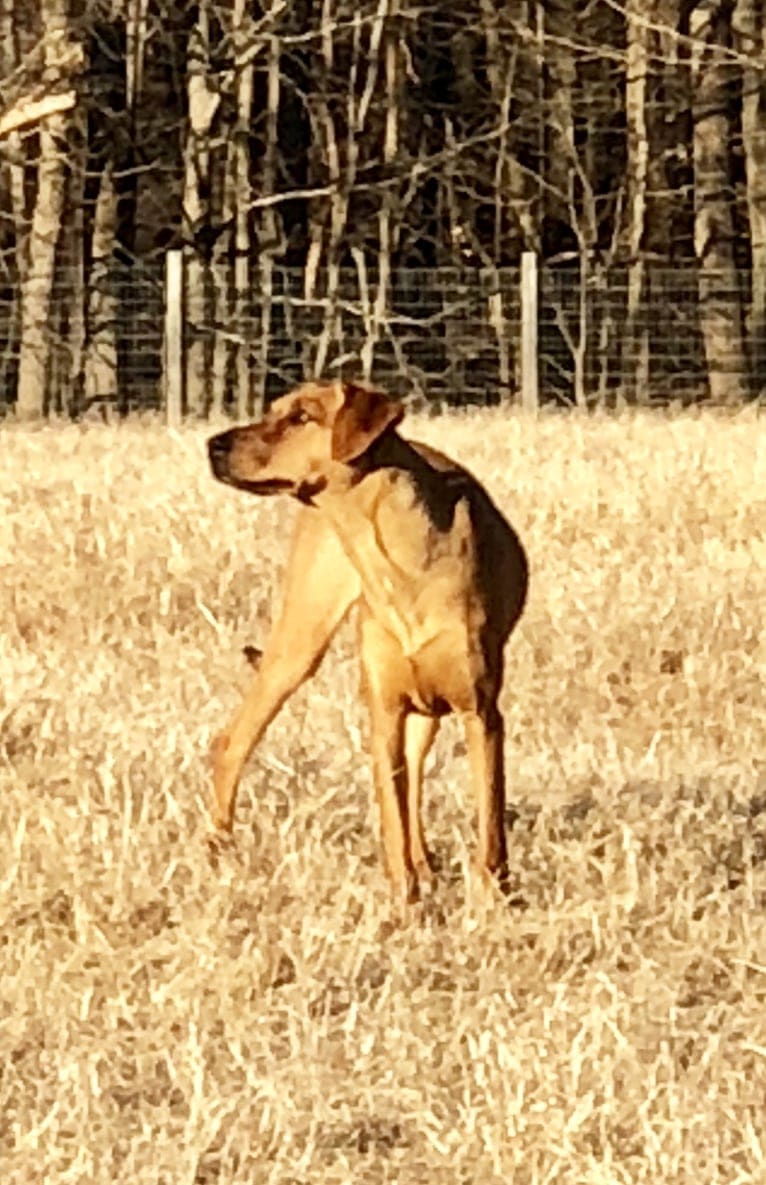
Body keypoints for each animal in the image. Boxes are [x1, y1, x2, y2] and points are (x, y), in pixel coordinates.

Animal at [207, 379, 531, 905]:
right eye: (273, 411)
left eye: (302, 416)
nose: (214, 445)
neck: (395, 562)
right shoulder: (384, 713)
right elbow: (393, 823)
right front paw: (405, 906)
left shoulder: (479, 711)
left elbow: (489, 823)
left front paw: (492, 900)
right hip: (299, 643)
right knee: (234, 740)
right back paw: (218, 849)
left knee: (416, 771)